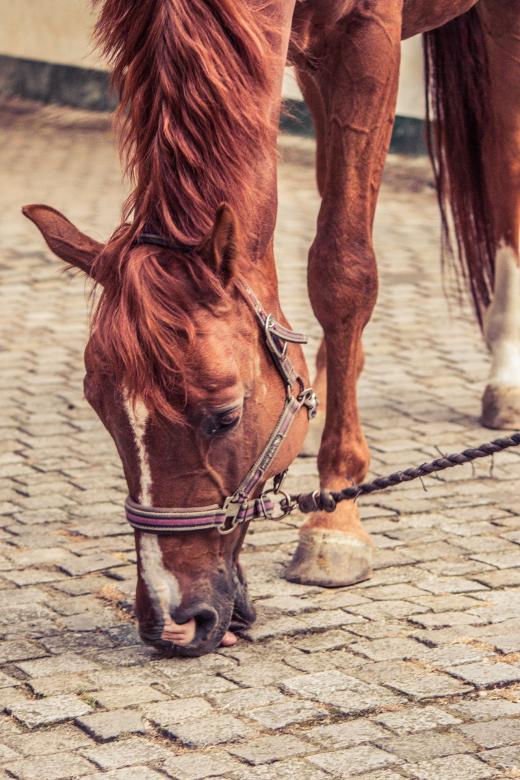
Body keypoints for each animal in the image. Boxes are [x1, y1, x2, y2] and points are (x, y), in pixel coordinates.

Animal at [22, 0, 520, 657]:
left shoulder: (367, 36)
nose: (172, 622)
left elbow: (343, 269)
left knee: (506, 167)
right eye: (100, 409)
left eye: (225, 415)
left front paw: (335, 518)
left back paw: (504, 377)